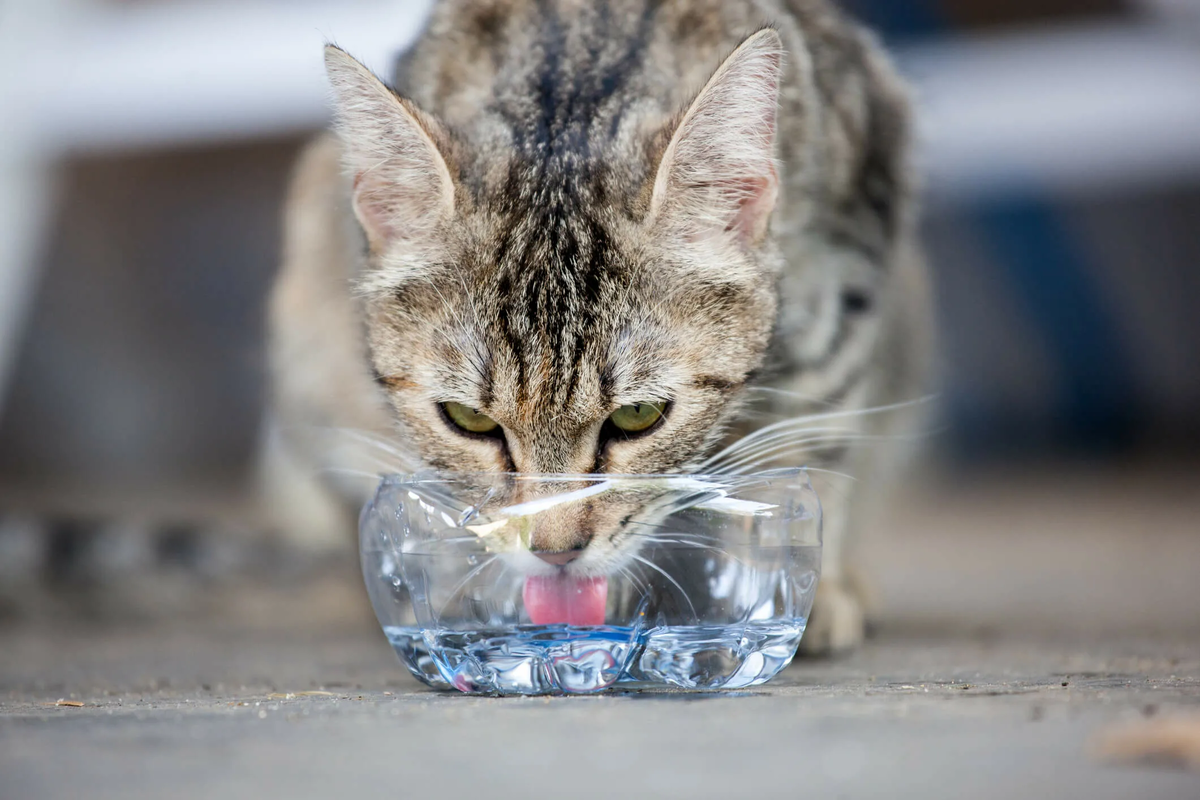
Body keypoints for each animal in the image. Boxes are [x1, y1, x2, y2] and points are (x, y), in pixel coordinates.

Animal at [267, 0, 931, 652]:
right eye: (468, 420)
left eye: (639, 416)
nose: (555, 552)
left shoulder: (849, 268)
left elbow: (812, 435)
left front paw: (776, 581)